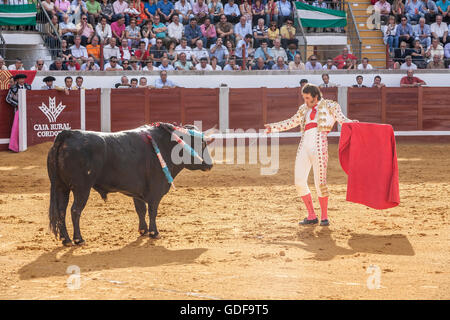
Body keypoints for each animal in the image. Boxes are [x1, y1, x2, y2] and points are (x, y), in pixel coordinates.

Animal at [47, 124, 214, 246]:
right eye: (200, 144)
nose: (210, 165)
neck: (166, 145)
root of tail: (68, 134)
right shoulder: (155, 191)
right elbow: (152, 210)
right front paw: (154, 233)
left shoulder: (137, 192)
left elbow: (141, 210)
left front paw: (143, 231)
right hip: (82, 188)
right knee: (75, 210)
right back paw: (78, 239)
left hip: (61, 187)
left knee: (61, 211)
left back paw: (66, 240)